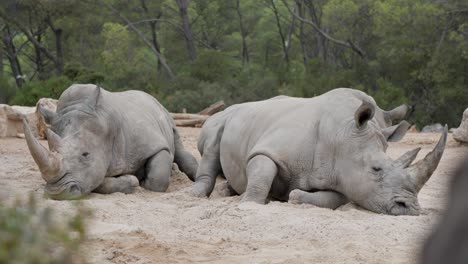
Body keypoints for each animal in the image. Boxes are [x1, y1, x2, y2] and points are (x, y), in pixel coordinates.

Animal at [23, 84, 197, 200]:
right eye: (52, 151)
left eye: (85, 154)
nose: (57, 193)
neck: (107, 125)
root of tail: (151, 98)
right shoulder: (94, 167)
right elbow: (97, 180)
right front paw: (131, 181)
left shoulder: (154, 143)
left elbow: (157, 179)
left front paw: (143, 181)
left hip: (165, 114)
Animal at [192, 87, 448, 216]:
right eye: (376, 169)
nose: (411, 209)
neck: (340, 136)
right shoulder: (269, 149)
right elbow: (261, 174)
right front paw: (250, 203)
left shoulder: (345, 178)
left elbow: (333, 198)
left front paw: (294, 196)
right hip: (222, 118)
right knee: (213, 142)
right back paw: (197, 194)